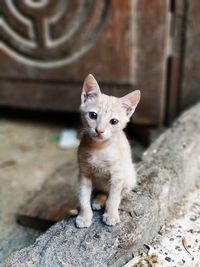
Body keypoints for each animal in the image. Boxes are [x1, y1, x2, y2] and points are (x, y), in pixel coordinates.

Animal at [75, 74, 141, 228]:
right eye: (93, 115)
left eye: (114, 121)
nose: (99, 130)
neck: (98, 149)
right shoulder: (84, 173)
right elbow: (83, 197)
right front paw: (85, 216)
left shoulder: (117, 175)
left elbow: (114, 197)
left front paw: (111, 214)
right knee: (103, 190)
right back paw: (98, 200)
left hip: (128, 175)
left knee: (120, 192)